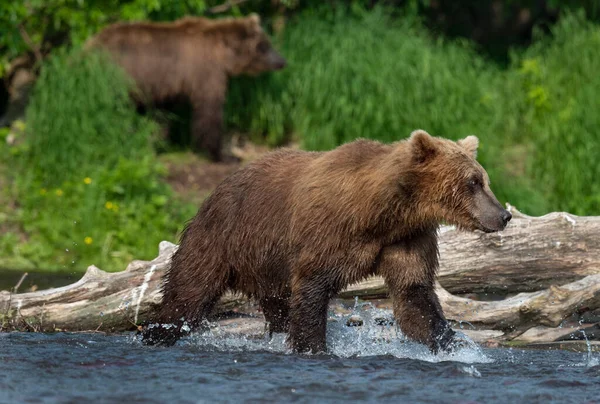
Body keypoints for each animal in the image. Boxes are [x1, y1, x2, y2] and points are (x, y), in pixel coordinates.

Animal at [85, 14, 288, 163]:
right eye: (264, 45)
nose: (282, 61)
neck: (223, 53)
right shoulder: (205, 73)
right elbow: (209, 112)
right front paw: (223, 155)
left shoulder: (162, 86)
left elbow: (161, 114)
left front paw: (157, 140)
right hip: (115, 77)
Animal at [141, 129, 510, 354]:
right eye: (474, 182)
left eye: (484, 179)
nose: (503, 215)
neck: (384, 212)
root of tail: (216, 188)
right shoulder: (329, 232)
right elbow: (312, 288)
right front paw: (313, 347)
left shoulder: (407, 238)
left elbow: (414, 293)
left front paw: (454, 344)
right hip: (222, 238)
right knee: (188, 294)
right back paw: (156, 333)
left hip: (267, 265)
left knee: (276, 304)